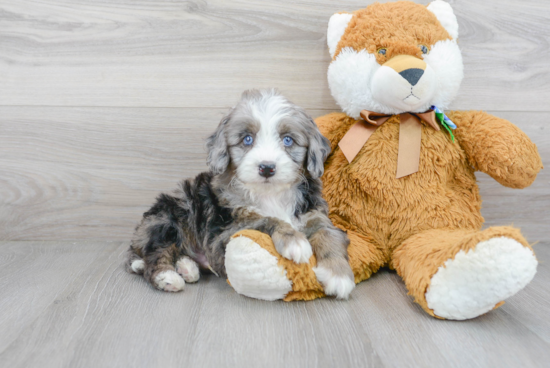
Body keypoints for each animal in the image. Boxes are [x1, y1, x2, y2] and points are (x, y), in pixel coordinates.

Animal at [127, 88, 356, 300]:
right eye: (247, 139)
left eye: (288, 140)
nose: (266, 168)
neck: (271, 194)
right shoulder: (224, 233)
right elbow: (263, 219)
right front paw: (294, 240)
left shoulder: (314, 213)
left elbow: (328, 233)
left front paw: (338, 274)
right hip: (168, 218)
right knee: (156, 253)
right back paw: (167, 277)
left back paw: (187, 267)